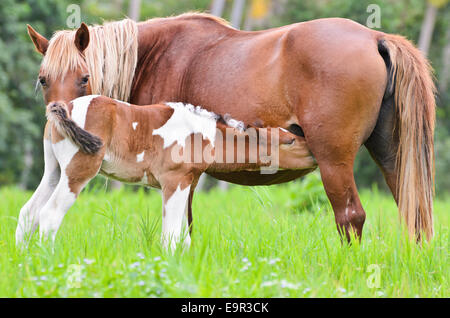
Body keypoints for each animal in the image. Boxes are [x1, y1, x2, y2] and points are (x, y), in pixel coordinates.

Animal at [15, 95, 314, 250]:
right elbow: (171, 236)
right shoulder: (174, 181)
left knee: (29, 213)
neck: (200, 133)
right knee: (49, 215)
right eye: (289, 140)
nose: (315, 153)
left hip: (54, 170)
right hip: (79, 170)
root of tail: (64, 107)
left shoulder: (186, 184)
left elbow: (184, 237)